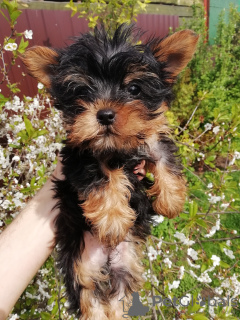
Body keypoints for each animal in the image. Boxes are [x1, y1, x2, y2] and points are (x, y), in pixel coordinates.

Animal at [22, 23, 199, 318]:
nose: (104, 114)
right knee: (88, 299)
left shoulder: (152, 139)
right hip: (79, 267)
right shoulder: (80, 152)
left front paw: (171, 200)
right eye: (82, 92)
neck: (116, 147)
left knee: (116, 299)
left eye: (134, 88)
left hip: (125, 269)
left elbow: (164, 158)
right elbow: (103, 175)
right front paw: (113, 219)